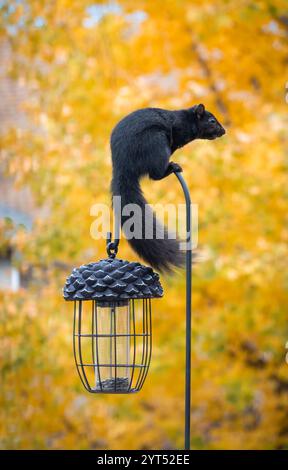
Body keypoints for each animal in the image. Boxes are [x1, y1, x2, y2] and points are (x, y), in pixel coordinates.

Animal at [110, 103, 225, 272]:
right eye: (212, 121)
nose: (223, 131)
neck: (186, 119)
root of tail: (123, 167)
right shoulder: (177, 131)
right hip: (156, 143)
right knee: (155, 174)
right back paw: (171, 167)